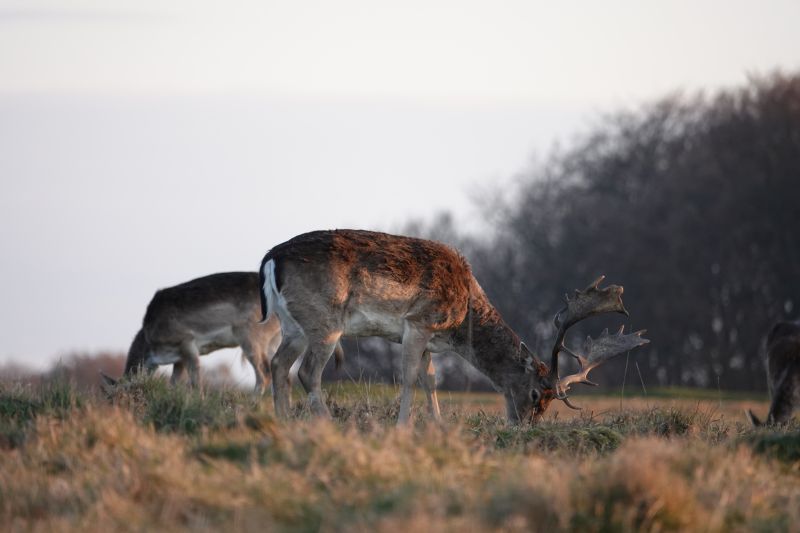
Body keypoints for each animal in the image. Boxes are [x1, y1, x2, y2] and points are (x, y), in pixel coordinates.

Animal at [102, 271, 342, 395]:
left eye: (114, 397)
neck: (150, 343)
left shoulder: (187, 341)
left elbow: (195, 378)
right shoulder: (178, 358)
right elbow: (175, 382)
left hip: (250, 336)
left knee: (263, 373)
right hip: (275, 339)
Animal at [258, 229, 649, 424]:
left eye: (551, 401)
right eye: (537, 394)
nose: (523, 427)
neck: (461, 322)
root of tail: (270, 258)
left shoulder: (431, 340)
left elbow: (430, 380)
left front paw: (440, 426)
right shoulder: (418, 323)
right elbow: (408, 378)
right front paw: (403, 427)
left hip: (293, 325)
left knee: (278, 365)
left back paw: (283, 424)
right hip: (325, 322)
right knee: (307, 373)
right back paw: (326, 425)